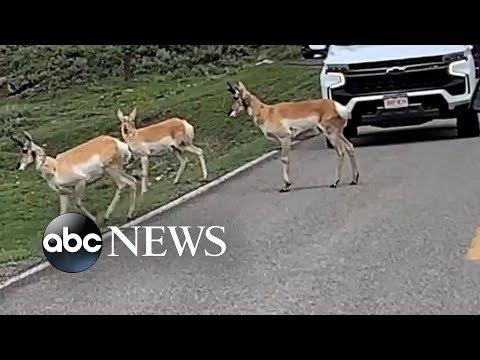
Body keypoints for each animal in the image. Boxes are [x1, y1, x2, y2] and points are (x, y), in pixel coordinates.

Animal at [10, 129, 138, 222]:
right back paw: (128, 215)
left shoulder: (80, 182)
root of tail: (115, 141)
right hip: (116, 171)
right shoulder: (63, 193)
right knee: (132, 181)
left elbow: (77, 203)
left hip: (111, 171)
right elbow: (62, 212)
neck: (55, 166)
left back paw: (108, 216)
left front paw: (94, 219)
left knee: (123, 185)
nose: (19, 167)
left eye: (25, 150)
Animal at [228, 80, 360, 193]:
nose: (230, 112)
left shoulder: (285, 138)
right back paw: (354, 179)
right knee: (350, 147)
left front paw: (286, 186)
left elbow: (284, 159)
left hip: (331, 134)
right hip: (339, 133)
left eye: (236, 97)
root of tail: (338, 106)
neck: (266, 112)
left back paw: (335, 182)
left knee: (341, 151)